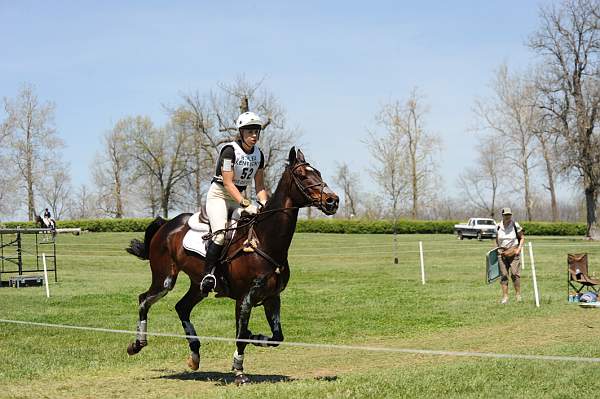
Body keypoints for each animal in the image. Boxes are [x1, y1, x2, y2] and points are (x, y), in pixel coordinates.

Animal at [125, 147, 338, 384]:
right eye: (302, 175)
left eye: (318, 173)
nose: (332, 200)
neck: (265, 239)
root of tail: (167, 224)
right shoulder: (244, 299)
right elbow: (241, 335)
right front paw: (239, 372)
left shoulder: (272, 298)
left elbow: (275, 337)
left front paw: (256, 336)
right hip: (164, 279)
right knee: (144, 299)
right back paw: (137, 344)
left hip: (199, 285)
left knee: (182, 307)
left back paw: (194, 355)